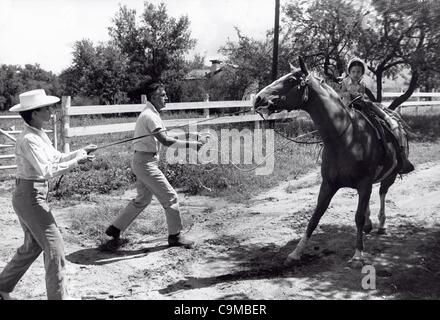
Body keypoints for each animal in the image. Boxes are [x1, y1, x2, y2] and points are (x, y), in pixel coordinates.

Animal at [253, 57, 410, 264]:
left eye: (291, 80)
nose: (258, 98)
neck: (345, 137)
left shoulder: (364, 183)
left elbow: (358, 217)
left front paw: (358, 254)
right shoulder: (328, 184)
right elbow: (315, 217)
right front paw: (296, 252)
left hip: (390, 175)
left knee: (382, 192)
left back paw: (381, 224)